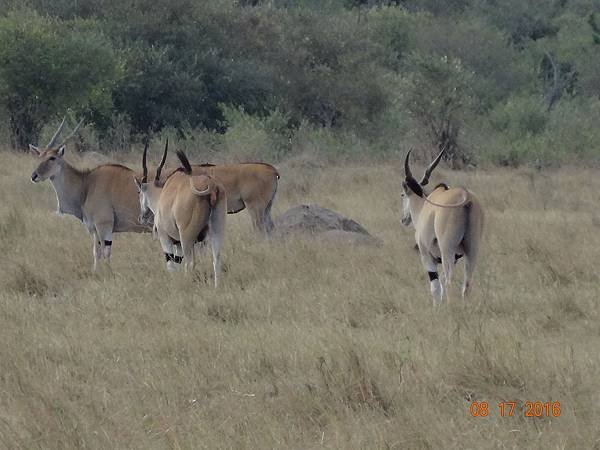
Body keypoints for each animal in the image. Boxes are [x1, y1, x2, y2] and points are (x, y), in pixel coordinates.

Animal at [28, 117, 151, 270]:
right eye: (40, 156)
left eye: (52, 158)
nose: (34, 176)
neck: (86, 184)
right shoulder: (94, 230)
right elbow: (96, 253)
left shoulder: (104, 226)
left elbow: (106, 254)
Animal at [136, 141, 227, 288]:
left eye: (139, 192)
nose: (141, 217)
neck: (163, 193)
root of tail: (212, 186)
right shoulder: (178, 243)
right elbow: (177, 262)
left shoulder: (166, 238)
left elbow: (171, 265)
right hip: (215, 234)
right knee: (216, 260)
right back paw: (216, 287)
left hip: (187, 238)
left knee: (190, 263)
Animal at [400, 149, 486, 304]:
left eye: (402, 194)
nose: (404, 219)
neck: (425, 206)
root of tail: (466, 197)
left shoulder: (427, 256)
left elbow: (435, 287)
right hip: (472, 250)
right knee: (467, 284)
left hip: (447, 250)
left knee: (449, 283)